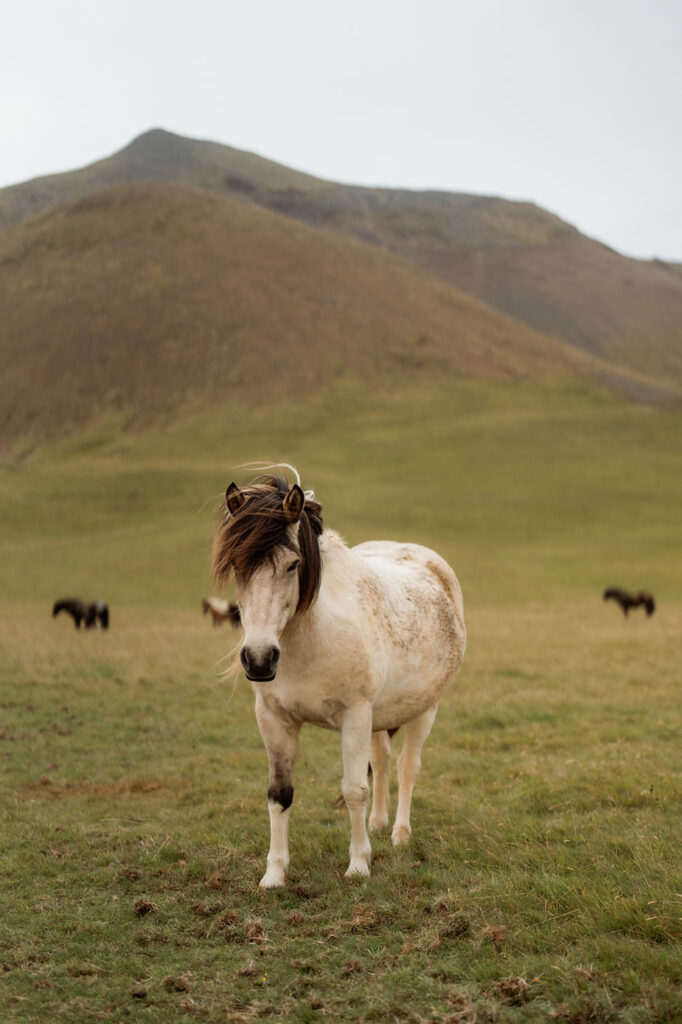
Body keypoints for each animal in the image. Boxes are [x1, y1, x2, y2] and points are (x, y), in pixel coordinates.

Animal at [212, 470, 466, 888]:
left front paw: (359, 865)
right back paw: (378, 824)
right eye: (236, 564)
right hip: (381, 716)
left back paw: (399, 834)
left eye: (293, 564)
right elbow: (279, 794)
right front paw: (274, 874)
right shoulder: (273, 719)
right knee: (382, 760)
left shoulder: (355, 715)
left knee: (407, 767)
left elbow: (354, 790)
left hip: (424, 709)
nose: (260, 659)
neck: (311, 638)